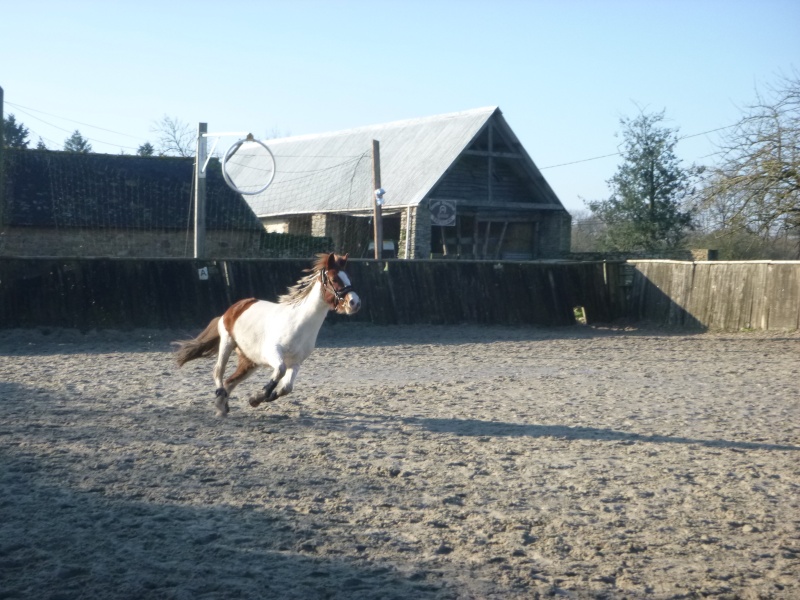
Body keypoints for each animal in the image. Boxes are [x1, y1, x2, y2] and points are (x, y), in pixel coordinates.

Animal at [178, 253, 362, 418]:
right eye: (335, 279)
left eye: (348, 278)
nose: (355, 303)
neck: (299, 323)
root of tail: (235, 307)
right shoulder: (272, 353)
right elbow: (279, 371)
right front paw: (259, 396)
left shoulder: (296, 362)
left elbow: (286, 388)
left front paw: (258, 398)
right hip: (227, 343)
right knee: (218, 372)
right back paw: (220, 398)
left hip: (250, 361)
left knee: (230, 381)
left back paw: (222, 407)